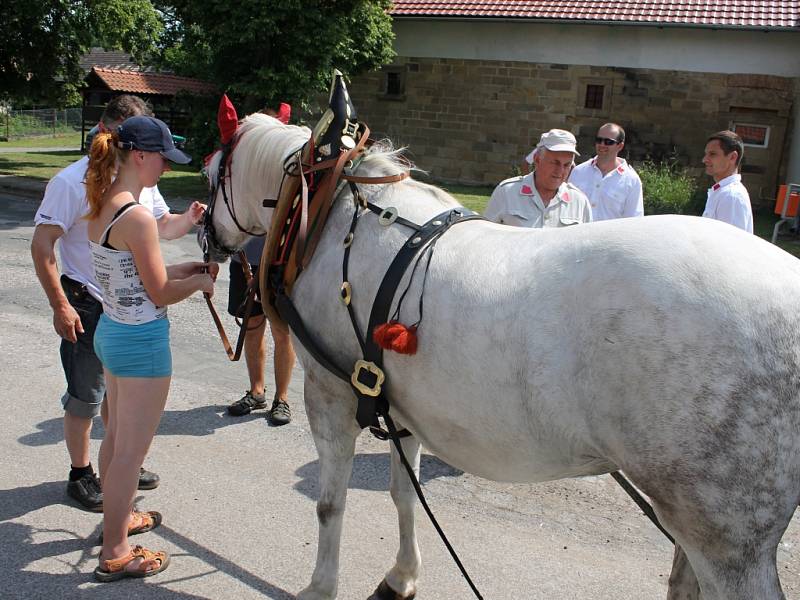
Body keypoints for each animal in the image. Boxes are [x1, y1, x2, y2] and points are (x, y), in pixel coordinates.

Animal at [202, 113, 800, 600]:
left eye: (212, 174)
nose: (209, 239)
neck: (331, 213)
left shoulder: (330, 394)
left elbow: (331, 504)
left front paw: (319, 587)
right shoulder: (398, 401)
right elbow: (404, 494)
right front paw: (402, 577)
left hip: (725, 532)